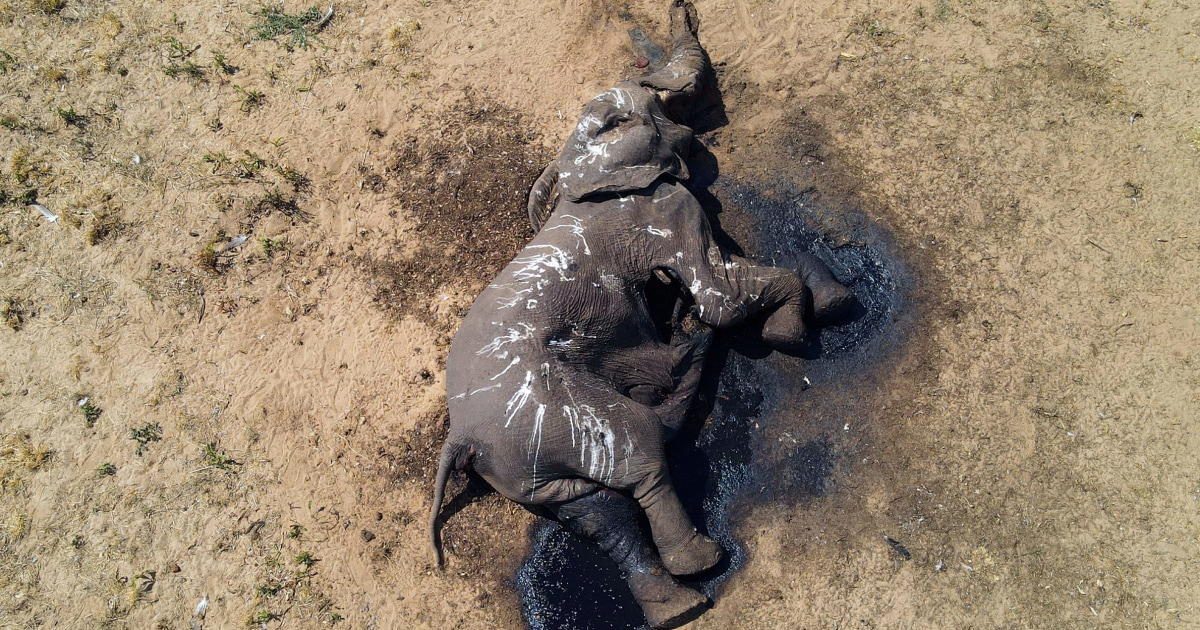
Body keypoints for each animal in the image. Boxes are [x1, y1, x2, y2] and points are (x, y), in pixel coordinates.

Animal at [429, 2, 853, 627]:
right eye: (654, 103)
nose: (684, 9)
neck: (576, 166)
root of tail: (461, 438)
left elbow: (725, 278)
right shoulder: (660, 210)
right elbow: (719, 295)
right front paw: (794, 332)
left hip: (523, 460)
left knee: (595, 507)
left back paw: (677, 604)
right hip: (553, 409)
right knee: (637, 445)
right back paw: (701, 564)